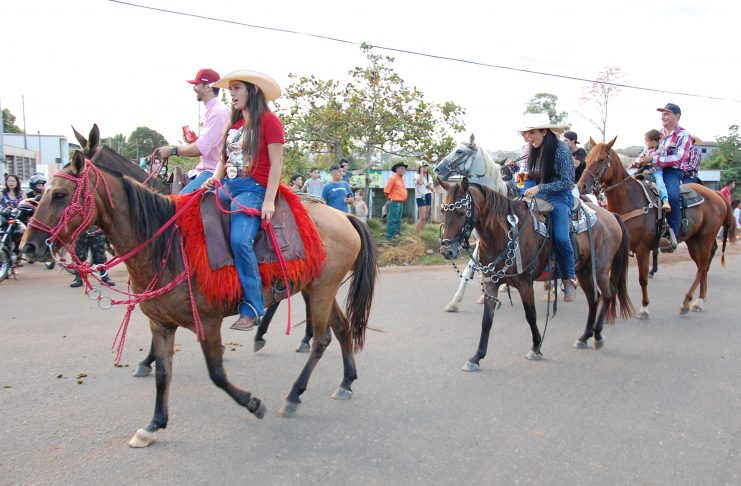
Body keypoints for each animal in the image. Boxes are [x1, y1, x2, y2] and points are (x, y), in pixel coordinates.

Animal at [22, 125, 378, 448]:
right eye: (45, 192)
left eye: (60, 194)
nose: (29, 246)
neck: (167, 242)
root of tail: (343, 216)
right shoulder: (160, 323)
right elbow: (164, 373)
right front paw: (153, 424)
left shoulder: (207, 322)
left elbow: (217, 373)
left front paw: (252, 403)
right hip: (318, 287)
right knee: (342, 329)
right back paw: (346, 382)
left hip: (321, 289)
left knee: (322, 339)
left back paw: (293, 394)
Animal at [438, 177, 634, 369]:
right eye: (442, 211)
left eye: (461, 212)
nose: (447, 251)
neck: (504, 233)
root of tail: (611, 215)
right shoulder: (491, 282)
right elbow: (487, 320)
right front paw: (477, 356)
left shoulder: (525, 283)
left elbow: (531, 316)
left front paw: (536, 347)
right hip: (584, 271)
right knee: (594, 299)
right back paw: (584, 337)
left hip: (600, 270)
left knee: (608, 295)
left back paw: (598, 336)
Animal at [578, 137, 737, 317]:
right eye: (587, 159)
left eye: (601, 159)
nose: (582, 186)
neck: (631, 200)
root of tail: (716, 195)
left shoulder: (642, 248)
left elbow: (642, 278)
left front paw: (644, 307)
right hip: (693, 241)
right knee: (701, 267)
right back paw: (698, 300)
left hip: (705, 239)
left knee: (703, 267)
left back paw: (690, 301)